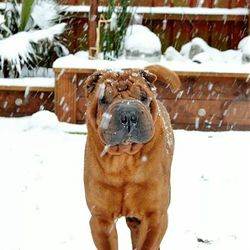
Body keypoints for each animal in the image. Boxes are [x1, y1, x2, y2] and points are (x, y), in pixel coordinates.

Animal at [83, 65, 180, 250]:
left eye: (143, 97)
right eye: (103, 99)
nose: (128, 114)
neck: (124, 160)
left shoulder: (155, 216)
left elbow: (146, 245)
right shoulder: (101, 219)